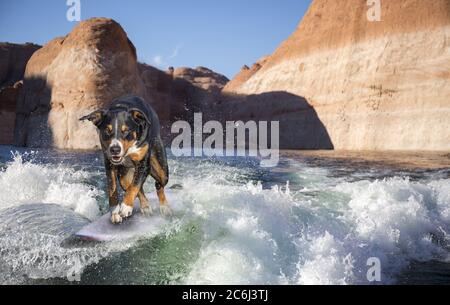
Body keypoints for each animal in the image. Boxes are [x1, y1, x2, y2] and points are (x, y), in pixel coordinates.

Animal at [79, 95, 171, 223]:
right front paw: (114, 211)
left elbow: (135, 186)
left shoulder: (143, 164)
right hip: (124, 177)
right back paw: (145, 207)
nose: (115, 149)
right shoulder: (110, 165)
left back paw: (164, 207)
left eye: (126, 131)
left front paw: (126, 206)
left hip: (162, 169)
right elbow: (113, 189)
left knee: (159, 184)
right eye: (107, 131)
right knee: (138, 188)